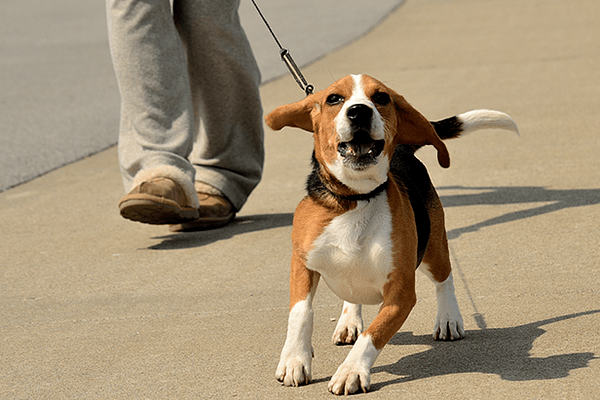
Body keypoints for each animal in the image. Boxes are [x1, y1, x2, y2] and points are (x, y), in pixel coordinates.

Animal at [264, 74, 516, 394]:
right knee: (352, 295)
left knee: (445, 279)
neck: (356, 199)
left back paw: (449, 318)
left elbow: (374, 334)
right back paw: (349, 320)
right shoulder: (302, 264)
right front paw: (295, 360)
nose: (359, 111)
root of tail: (403, 150)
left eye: (381, 97)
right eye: (334, 98)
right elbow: (300, 313)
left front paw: (350, 371)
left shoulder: (401, 293)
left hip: (433, 249)